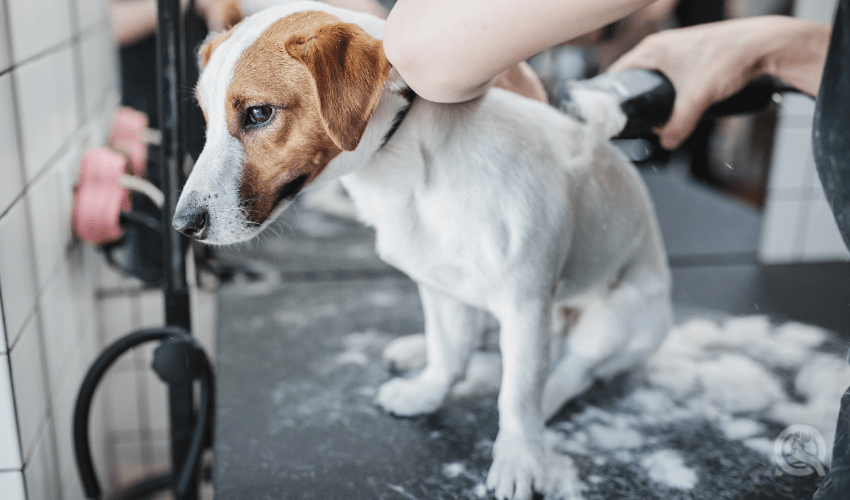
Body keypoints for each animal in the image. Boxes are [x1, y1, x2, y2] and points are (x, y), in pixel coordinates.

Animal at [176, 1, 672, 498]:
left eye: (259, 113)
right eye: (205, 118)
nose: (183, 225)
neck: (408, 163)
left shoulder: (525, 304)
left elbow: (517, 394)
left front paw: (519, 455)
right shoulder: (440, 285)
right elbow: (448, 352)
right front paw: (427, 391)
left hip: (615, 315)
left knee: (573, 370)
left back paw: (547, 396)